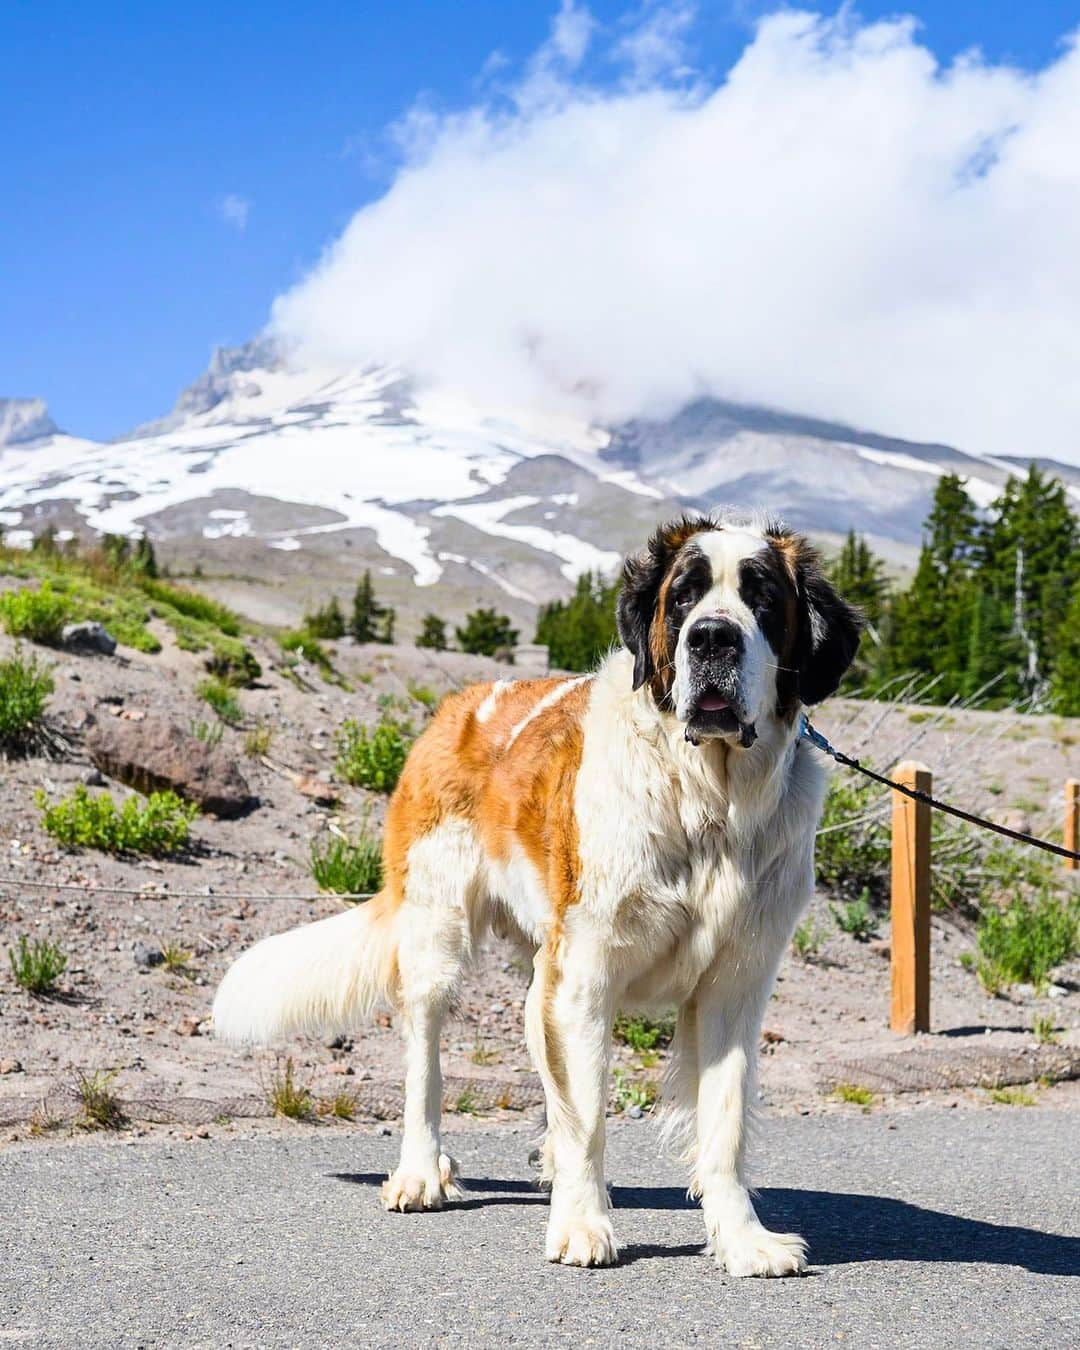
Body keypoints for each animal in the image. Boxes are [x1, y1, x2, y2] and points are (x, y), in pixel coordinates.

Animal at [213, 510, 858, 1269]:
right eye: (684, 598)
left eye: (761, 597)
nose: (712, 637)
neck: (709, 802)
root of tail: (457, 704)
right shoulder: (586, 972)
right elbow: (590, 1114)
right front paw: (582, 1224)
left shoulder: (734, 984)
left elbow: (722, 1125)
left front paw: (743, 1239)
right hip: (436, 936)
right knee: (425, 1063)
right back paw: (419, 1172)